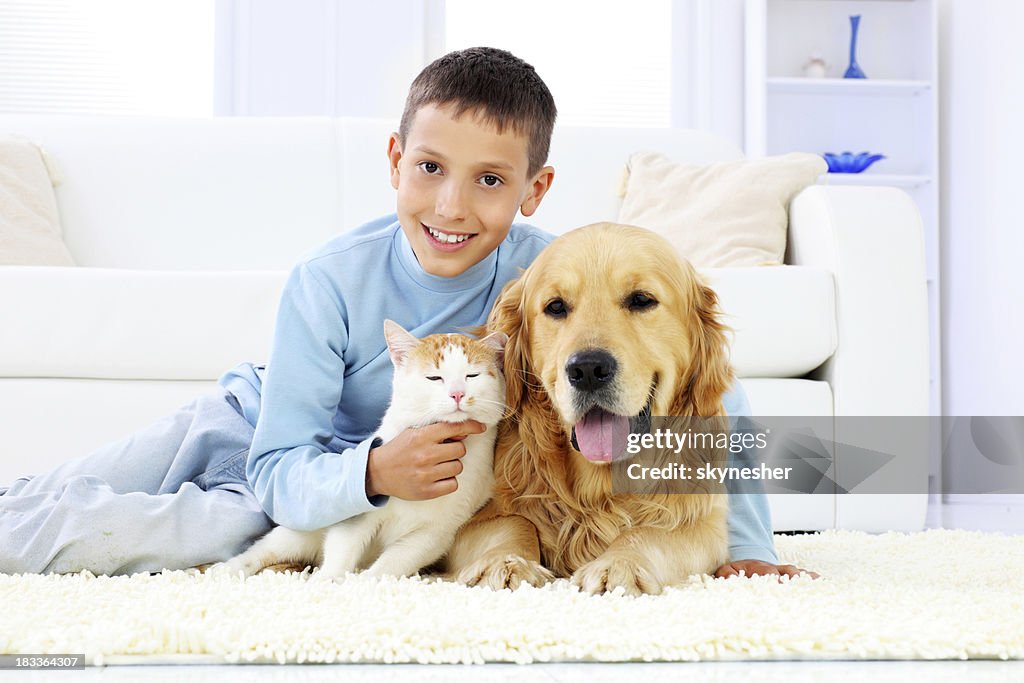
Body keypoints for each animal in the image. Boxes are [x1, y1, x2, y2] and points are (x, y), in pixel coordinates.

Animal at [214, 321, 505, 581]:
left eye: (472, 376)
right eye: (434, 378)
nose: (457, 394)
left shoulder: (434, 534)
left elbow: (393, 562)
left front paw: (364, 584)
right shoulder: (356, 516)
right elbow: (343, 548)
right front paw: (326, 582)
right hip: (299, 531)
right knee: (264, 551)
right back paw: (228, 570)